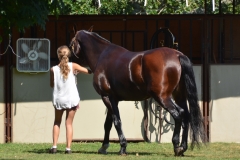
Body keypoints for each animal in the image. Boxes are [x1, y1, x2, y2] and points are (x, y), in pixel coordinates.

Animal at [69, 26, 206, 156]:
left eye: (71, 44)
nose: (68, 60)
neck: (102, 56)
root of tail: (178, 55)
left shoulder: (106, 97)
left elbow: (117, 121)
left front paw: (122, 148)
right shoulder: (113, 99)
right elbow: (108, 123)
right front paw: (103, 147)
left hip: (162, 97)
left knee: (178, 114)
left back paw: (177, 147)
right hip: (179, 96)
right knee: (186, 115)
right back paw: (183, 147)